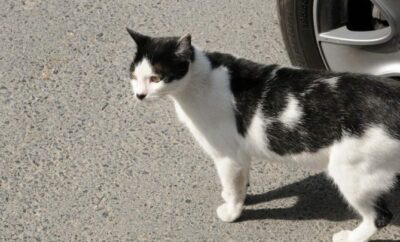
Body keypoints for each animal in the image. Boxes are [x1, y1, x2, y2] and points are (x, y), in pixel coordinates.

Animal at [126, 28, 398, 242]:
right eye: (134, 76)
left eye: (156, 77)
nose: (139, 95)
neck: (198, 81)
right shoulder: (240, 155)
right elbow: (240, 181)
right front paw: (237, 197)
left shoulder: (227, 157)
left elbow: (233, 187)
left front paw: (232, 212)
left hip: (351, 173)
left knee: (380, 217)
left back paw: (351, 237)